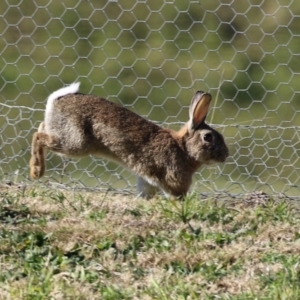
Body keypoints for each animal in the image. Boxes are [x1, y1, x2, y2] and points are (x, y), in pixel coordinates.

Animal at [29, 82, 229, 199]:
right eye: (208, 137)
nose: (226, 155)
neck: (184, 148)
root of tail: (56, 100)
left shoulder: (148, 180)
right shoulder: (173, 178)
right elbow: (175, 195)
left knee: (40, 128)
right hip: (76, 142)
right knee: (38, 137)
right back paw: (36, 171)